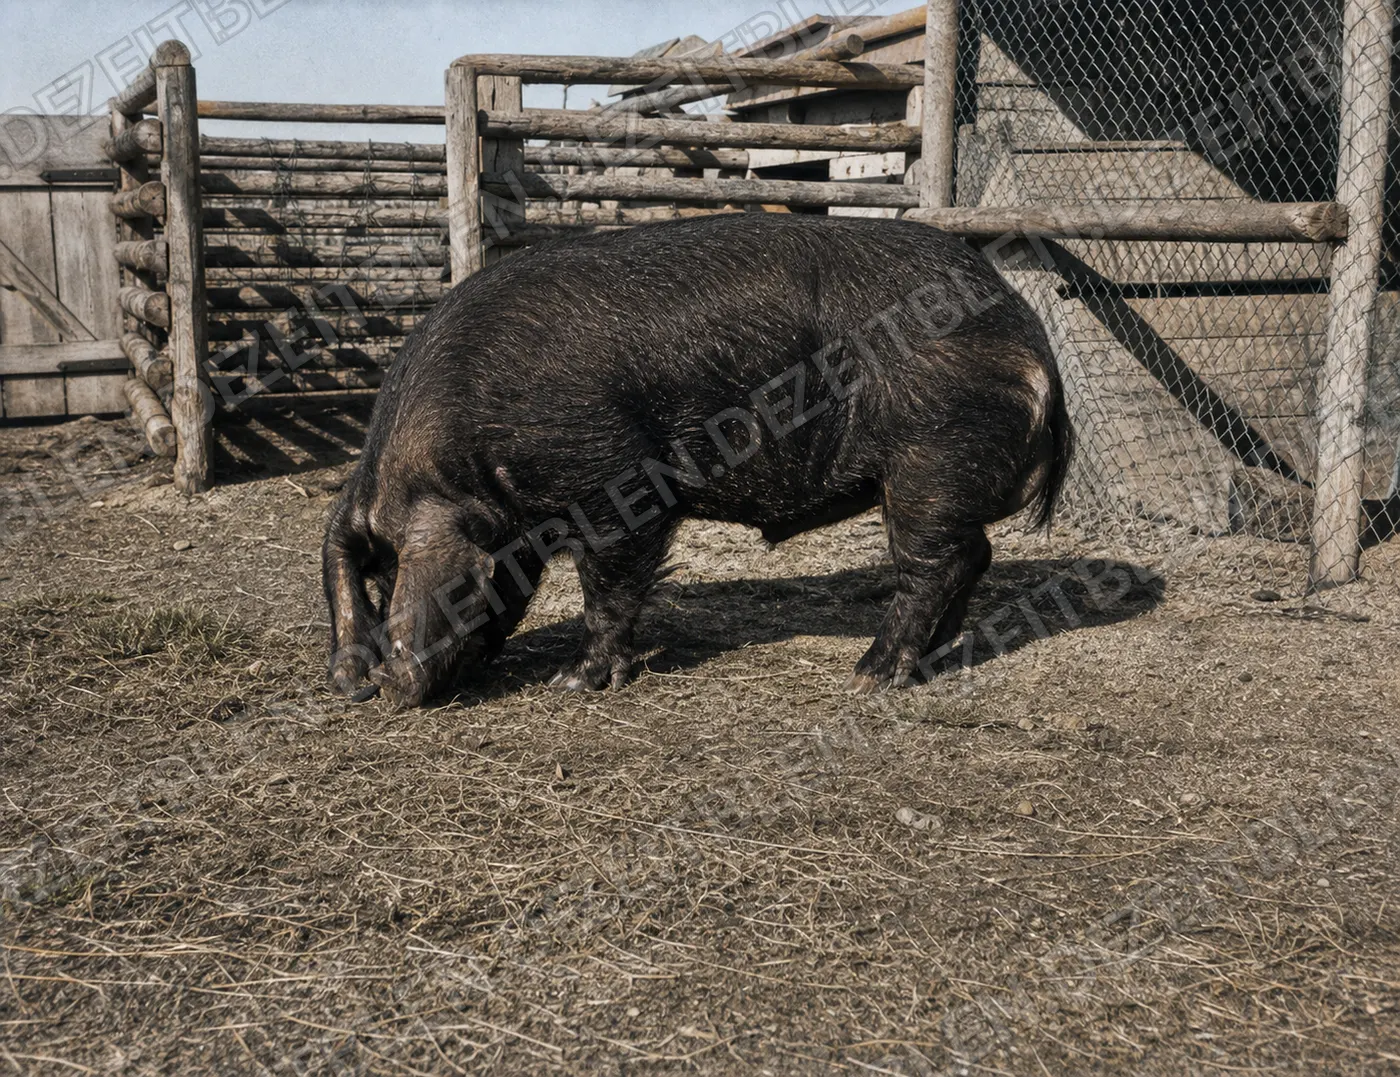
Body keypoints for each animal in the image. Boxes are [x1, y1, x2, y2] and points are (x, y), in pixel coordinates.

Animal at [323, 213, 1072, 708]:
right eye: (375, 584)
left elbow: (610, 587)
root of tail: (1028, 333)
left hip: (931, 458)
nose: (380, 686)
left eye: (401, 579)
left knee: (933, 565)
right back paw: (932, 657)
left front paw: (574, 682)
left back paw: (867, 677)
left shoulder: (612, 479)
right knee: (974, 556)